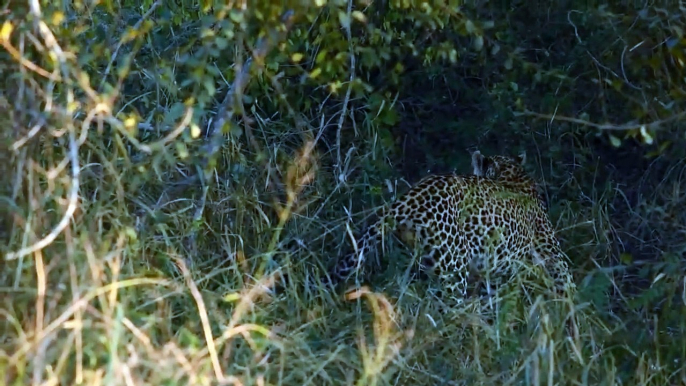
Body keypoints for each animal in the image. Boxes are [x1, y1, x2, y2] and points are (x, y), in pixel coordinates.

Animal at [318, 149, 576, 304]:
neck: (513, 176)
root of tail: (408, 199)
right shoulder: (550, 252)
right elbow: (566, 282)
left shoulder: (493, 272)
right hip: (453, 269)